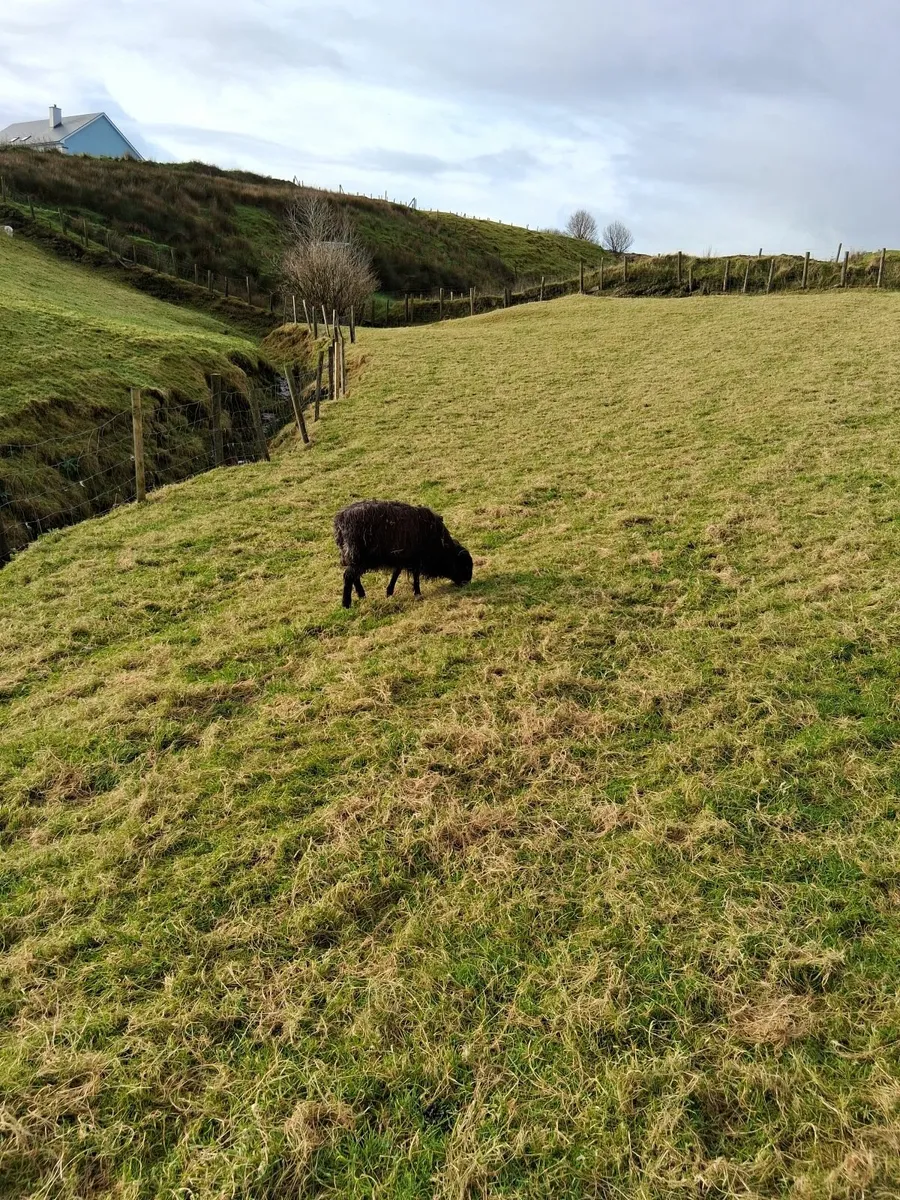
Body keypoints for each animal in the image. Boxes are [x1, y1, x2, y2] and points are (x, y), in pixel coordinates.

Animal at [334, 499, 473, 608]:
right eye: (465, 565)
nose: (467, 583)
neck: (440, 547)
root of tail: (340, 520)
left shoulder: (402, 557)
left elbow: (397, 572)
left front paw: (389, 592)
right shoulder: (415, 558)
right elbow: (415, 575)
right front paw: (417, 593)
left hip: (354, 558)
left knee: (354, 576)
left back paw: (361, 595)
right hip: (359, 557)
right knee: (349, 576)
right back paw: (346, 603)